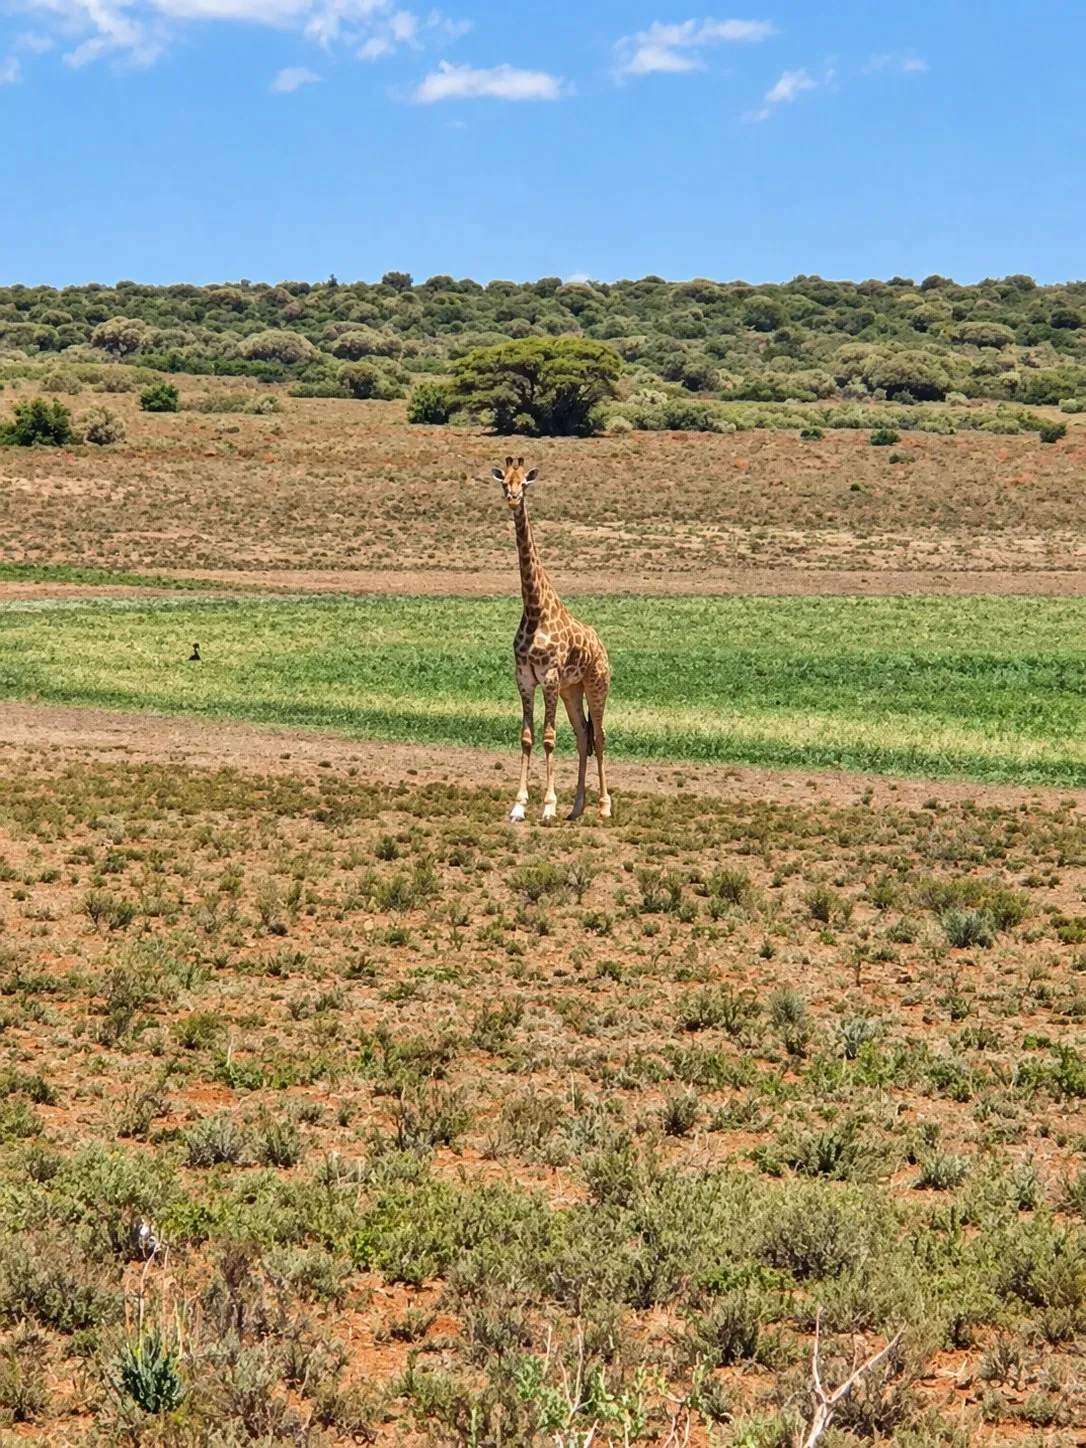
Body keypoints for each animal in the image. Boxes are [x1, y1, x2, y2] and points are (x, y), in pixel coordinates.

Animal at [488, 456, 611, 825]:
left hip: (596, 684)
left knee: (600, 735)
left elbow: (549, 738)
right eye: (505, 482)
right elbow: (528, 738)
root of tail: (601, 644)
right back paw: (577, 807)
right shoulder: (525, 679)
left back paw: (604, 806)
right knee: (583, 735)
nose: (513, 499)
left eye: (525, 484)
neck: (535, 610)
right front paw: (519, 805)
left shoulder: (551, 679)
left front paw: (548, 806)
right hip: (573, 690)